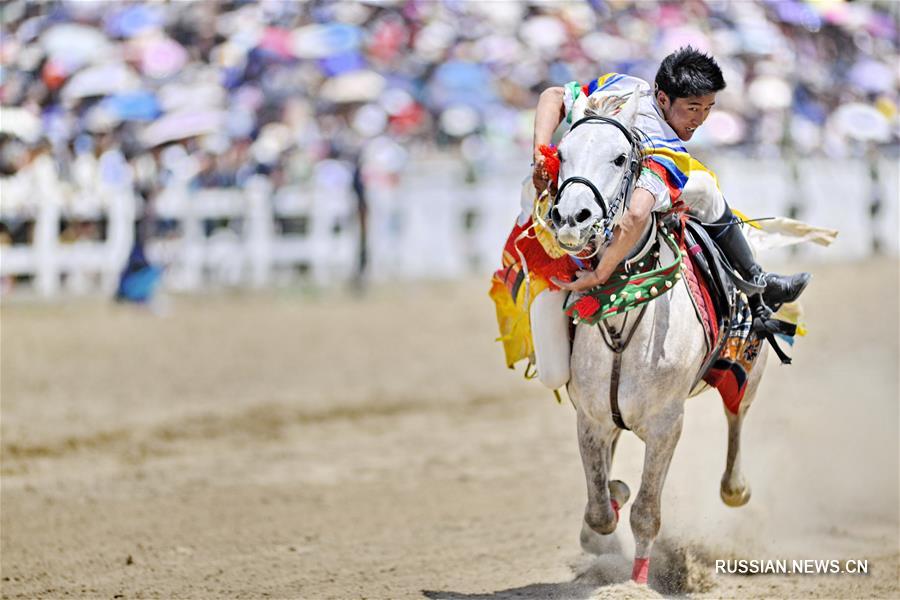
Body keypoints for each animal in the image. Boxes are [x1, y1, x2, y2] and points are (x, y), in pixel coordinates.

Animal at [548, 91, 768, 584]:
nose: (571, 218)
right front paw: (613, 496)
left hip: (749, 371)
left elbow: (646, 513)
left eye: (618, 158)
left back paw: (737, 488)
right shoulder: (591, 417)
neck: (622, 310)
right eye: (563, 154)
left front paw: (638, 582)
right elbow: (599, 512)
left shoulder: (667, 425)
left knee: (737, 417)